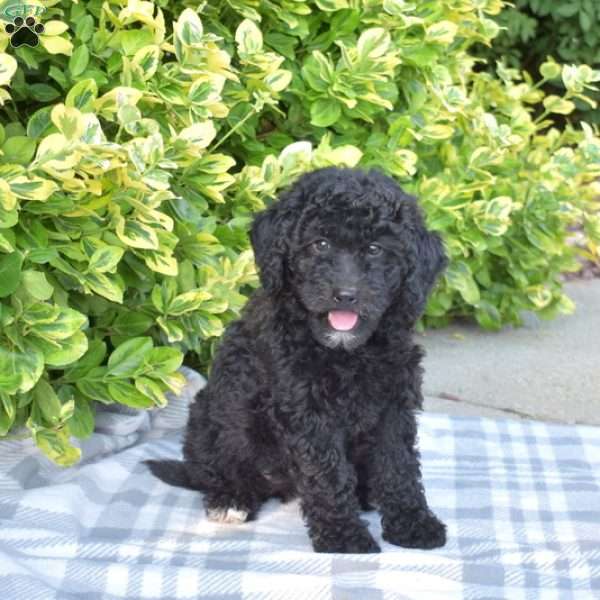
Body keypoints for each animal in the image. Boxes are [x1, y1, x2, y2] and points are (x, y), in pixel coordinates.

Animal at [146, 165, 446, 552]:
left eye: (375, 250)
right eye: (320, 244)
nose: (345, 295)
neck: (348, 352)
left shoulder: (393, 404)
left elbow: (399, 466)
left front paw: (413, 522)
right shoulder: (307, 411)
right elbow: (329, 475)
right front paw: (343, 536)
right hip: (212, 417)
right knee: (216, 468)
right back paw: (231, 499)